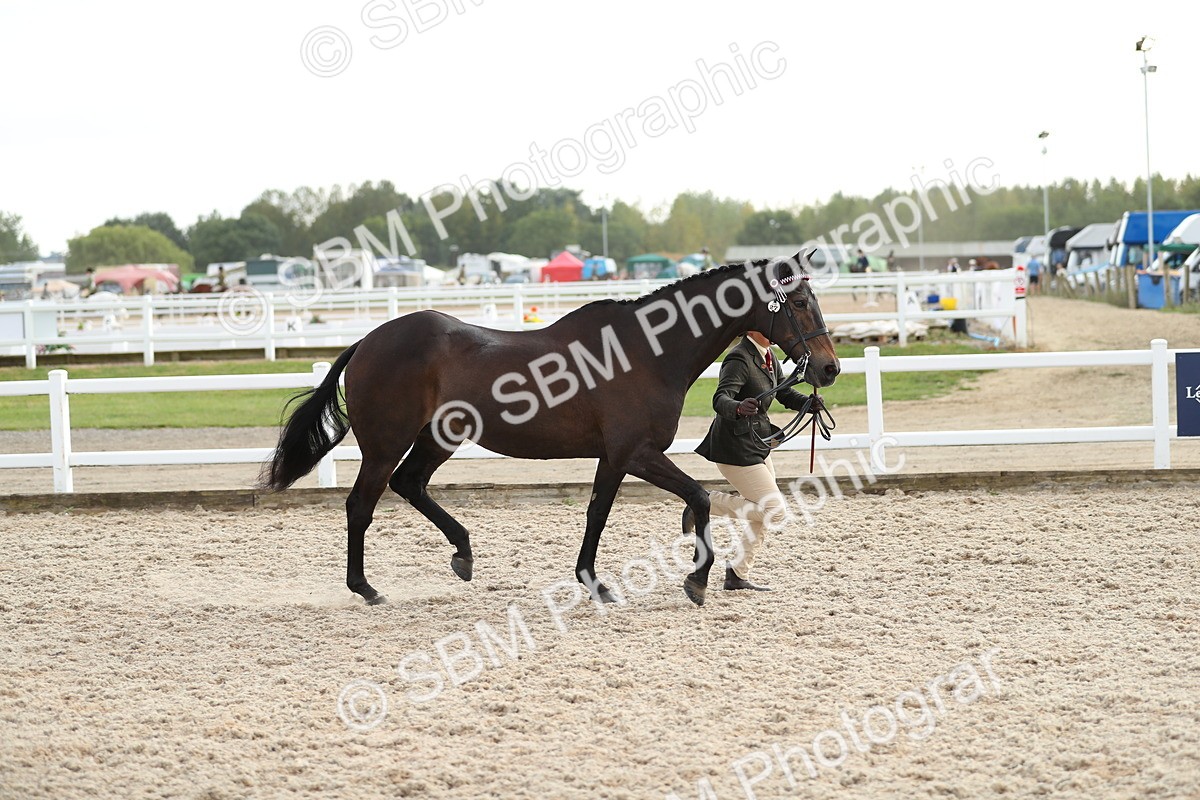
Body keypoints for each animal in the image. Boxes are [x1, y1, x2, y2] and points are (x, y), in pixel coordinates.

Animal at [262, 253, 841, 607]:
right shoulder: (633, 452)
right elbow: (683, 499)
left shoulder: (619, 456)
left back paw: (463, 554)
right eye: (800, 302)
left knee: (411, 485)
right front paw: (690, 581)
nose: (829, 368)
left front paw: (597, 582)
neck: (647, 351)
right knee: (362, 504)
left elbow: (603, 513)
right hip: (386, 444)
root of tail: (367, 341)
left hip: (437, 438)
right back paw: (366, 588)